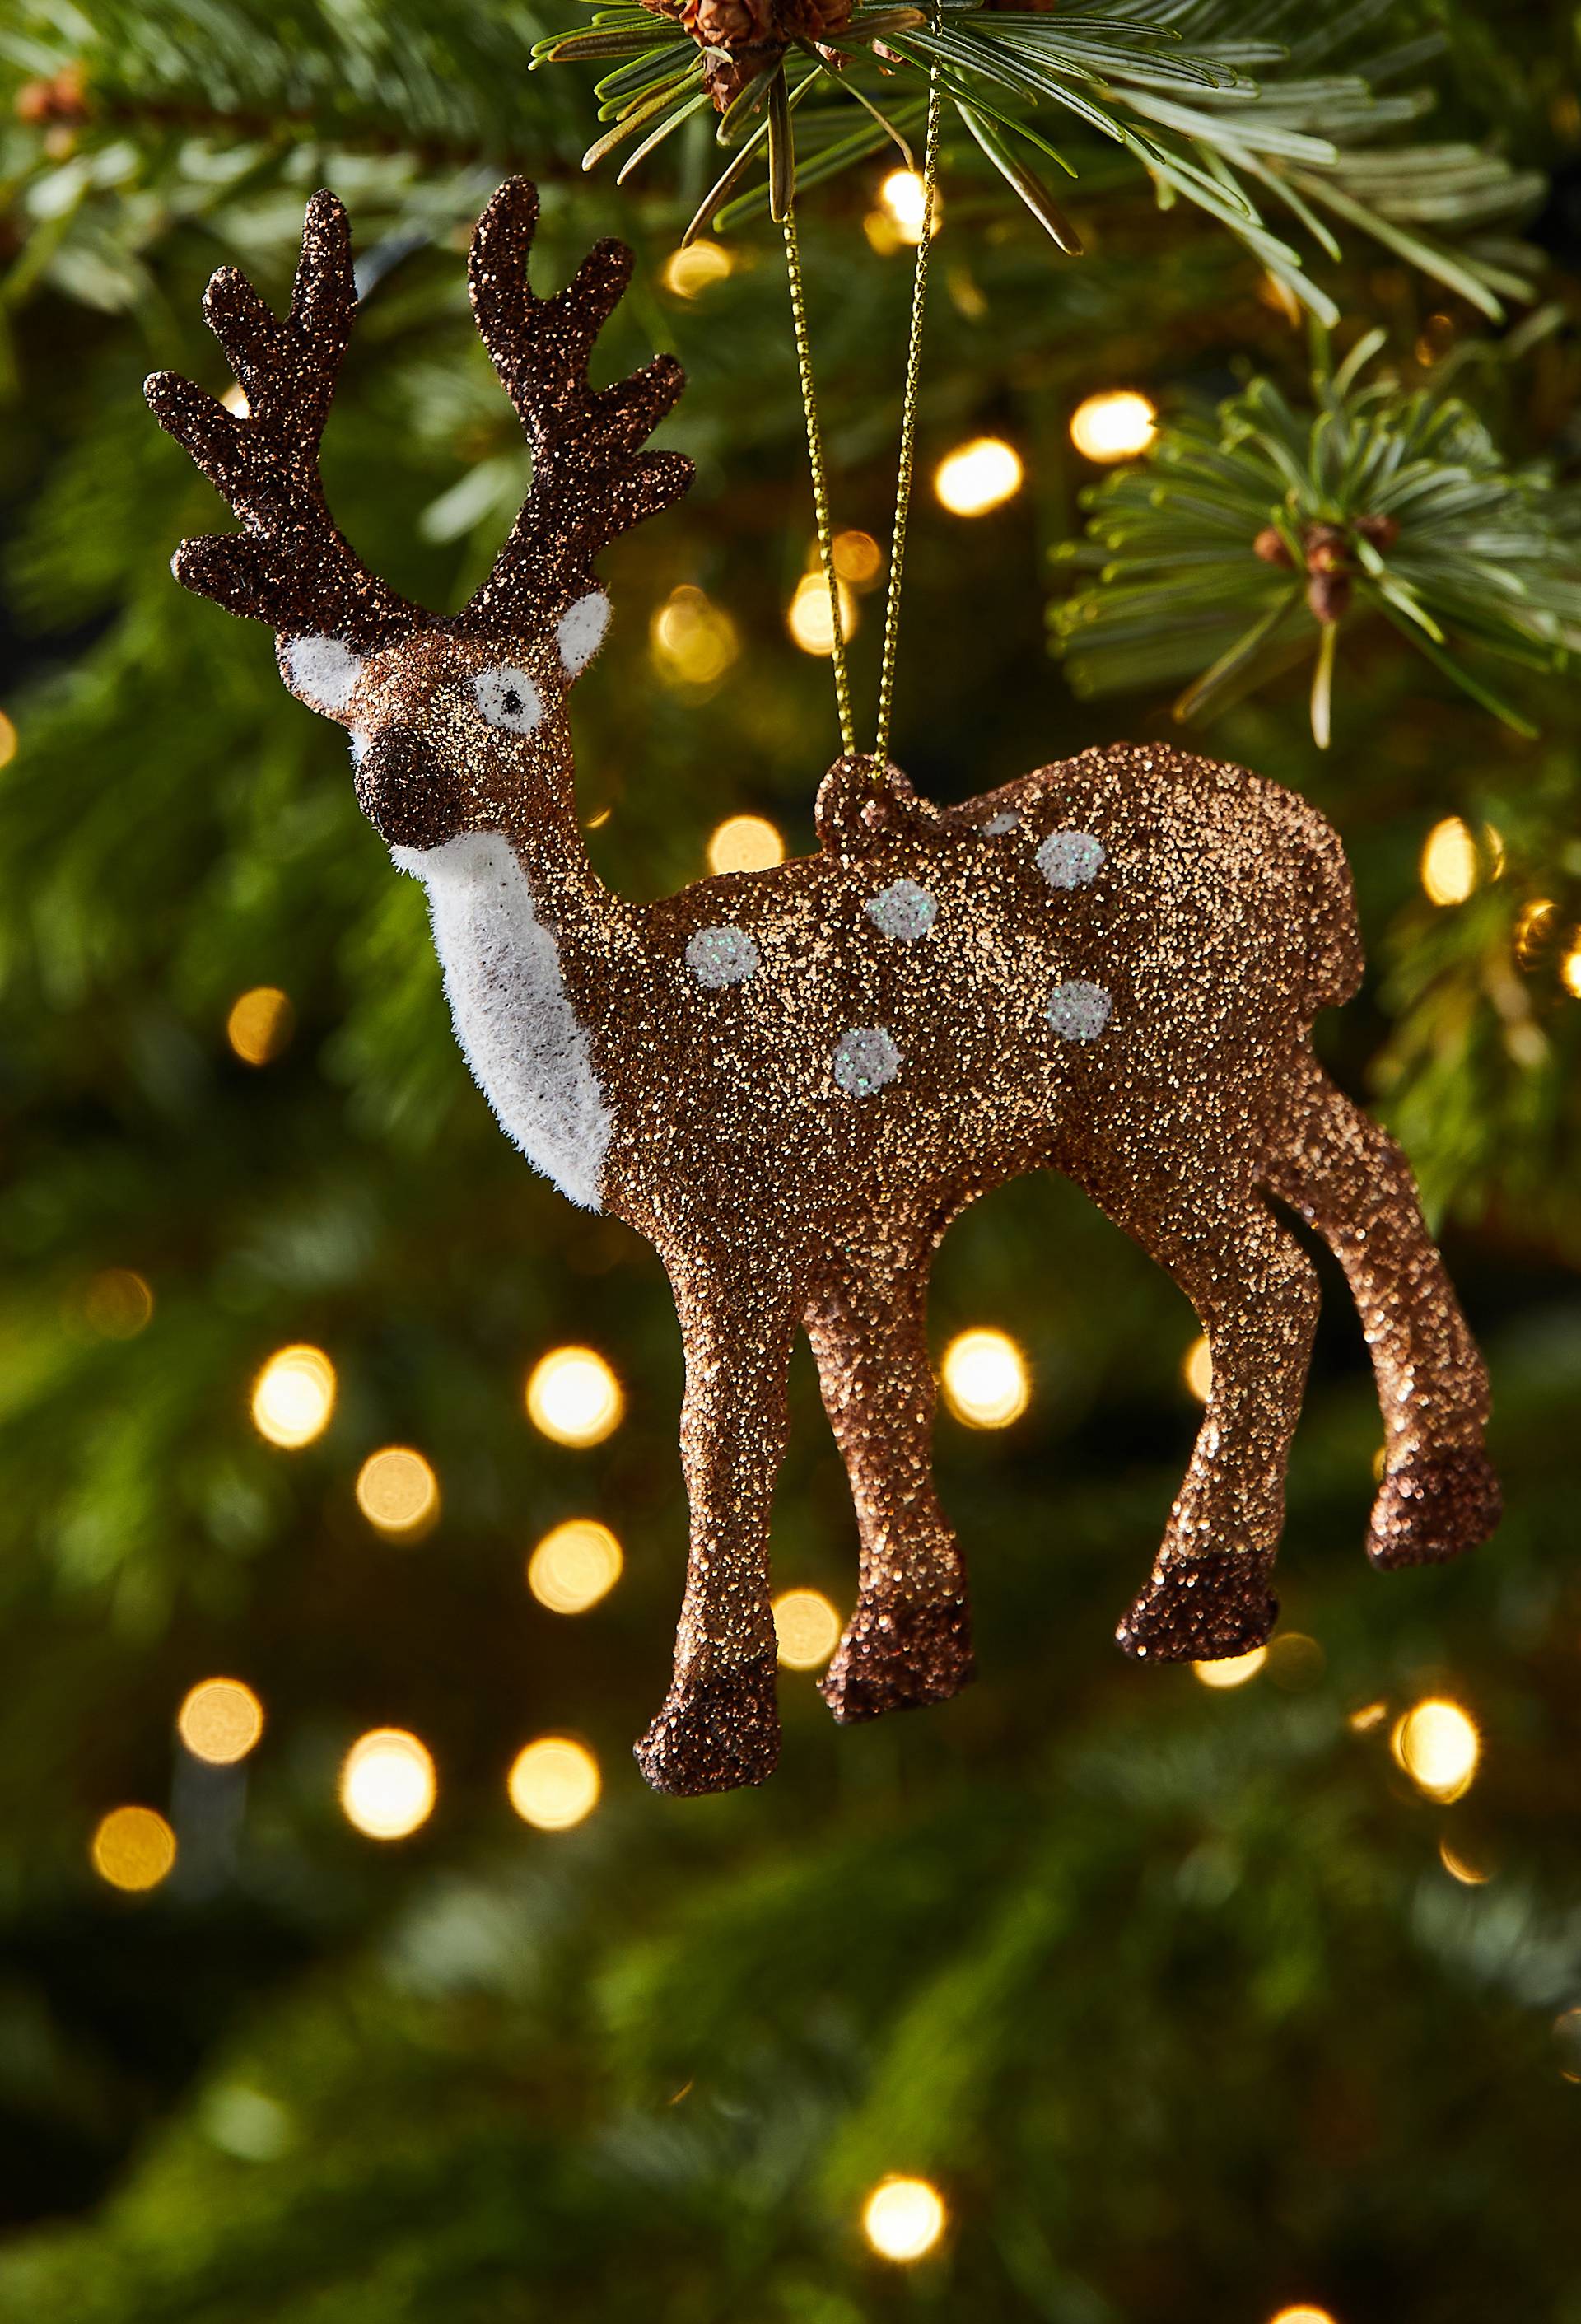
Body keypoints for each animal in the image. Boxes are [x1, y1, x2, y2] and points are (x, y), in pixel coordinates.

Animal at [145, 178, 1500, 1798]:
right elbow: (877, 1403)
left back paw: (1199, 1593)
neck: (627, 1031)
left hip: (1150, 1086)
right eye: (352, 709)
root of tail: (1314, 852)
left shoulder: (733, 1205)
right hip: (1253, 1053)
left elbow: (723, 1440)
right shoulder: (861, 1219)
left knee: (1266, 1282)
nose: (393, 788)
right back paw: (1432, 1498)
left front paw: (709, 1723)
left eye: (514, 694)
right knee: (1375, 1177)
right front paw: (902, 1653)